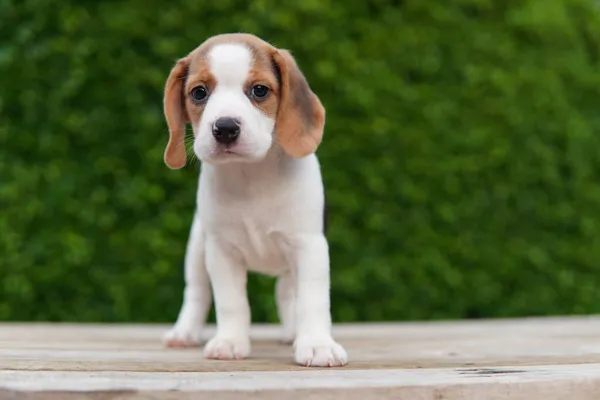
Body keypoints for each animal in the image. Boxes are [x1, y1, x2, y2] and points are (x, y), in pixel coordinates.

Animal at [161, 32, 346, 368]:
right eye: (199, 93)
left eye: (259, 90)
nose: (225, 128)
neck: (252, 175)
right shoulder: (221, 251)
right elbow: (230, 302)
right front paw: (230, 341)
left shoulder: (309, 246)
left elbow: (311, 301)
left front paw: (316, 344)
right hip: (197, 246)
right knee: (197, 293)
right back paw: (184, 332)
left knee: (288, 296)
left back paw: (292, 332)